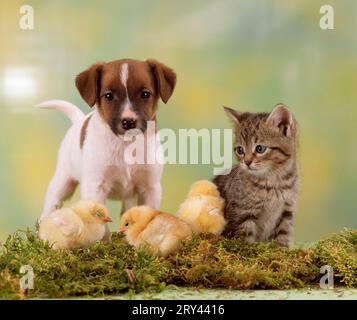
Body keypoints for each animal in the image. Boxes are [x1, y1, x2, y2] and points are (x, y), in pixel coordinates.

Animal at [36, 58, 176, 228]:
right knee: (51, 203)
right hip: (63, 181)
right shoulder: (95, 187)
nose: (128, 122)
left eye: (145, 94)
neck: (125, 144)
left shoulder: (150, 188)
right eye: (108, 96)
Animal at [214, 104, 298, 246]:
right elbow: (245, 242)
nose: (246, 162)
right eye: (240, 150)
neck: (274, 180)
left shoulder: (286, 212)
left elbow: (282, 237)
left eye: (260, 149)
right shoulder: (242, 215)